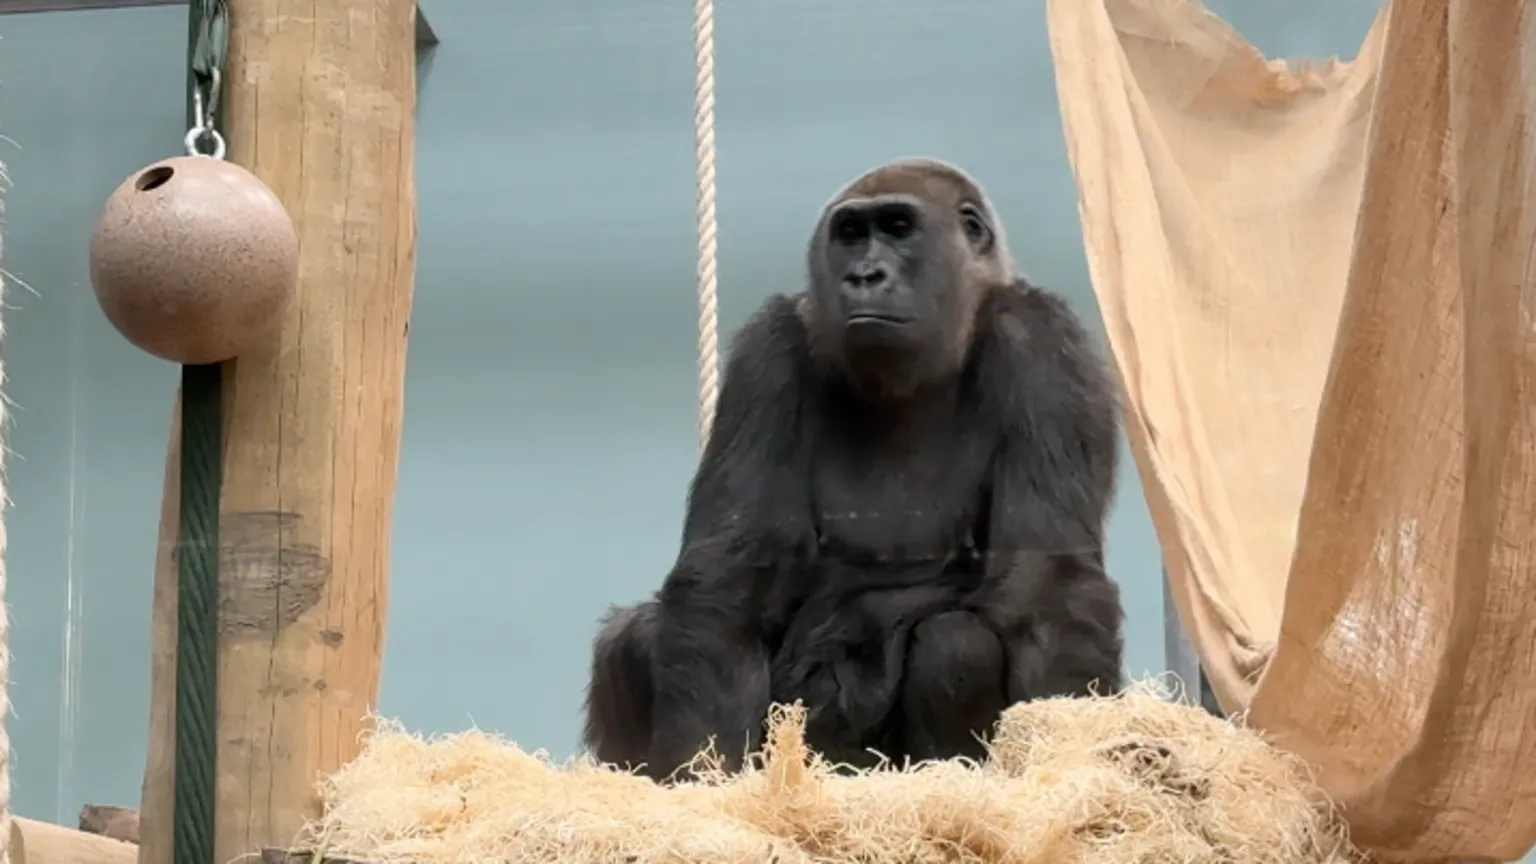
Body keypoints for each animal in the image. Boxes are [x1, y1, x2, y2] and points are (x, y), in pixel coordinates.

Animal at [583, 157, 1125, 782]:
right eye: (850, 234)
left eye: (898, 228)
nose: (864, 275)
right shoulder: (768, 351)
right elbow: (727, 575)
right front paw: (701, 774)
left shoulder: (1045, 345)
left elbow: (1048, 586)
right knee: (636, 634)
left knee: (955, 641)